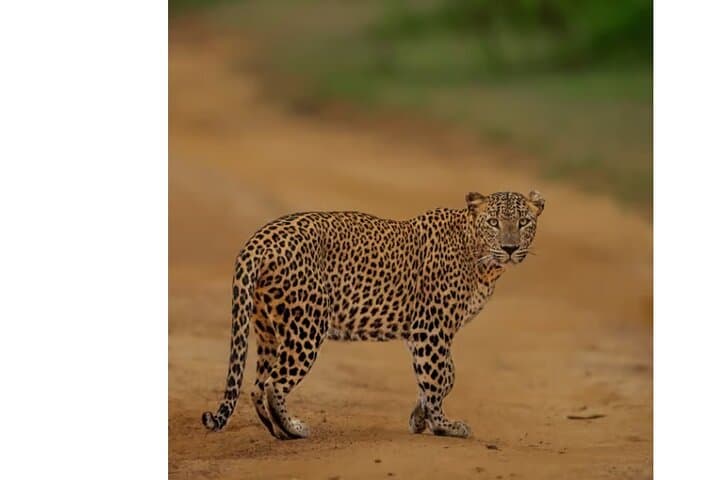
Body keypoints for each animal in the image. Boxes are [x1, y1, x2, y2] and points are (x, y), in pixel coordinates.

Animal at [201, 190, 545, 440]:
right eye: (494, 222)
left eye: (525, 222)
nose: (510, 247)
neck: (482, 259)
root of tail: (258, 240)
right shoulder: (431, 329)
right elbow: (439, 376)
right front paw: (442, 425)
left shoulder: (420, 333)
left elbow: (445, 375)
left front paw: (419, 417)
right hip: (307, 324)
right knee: (274, 383)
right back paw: (294, 429)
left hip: (269, 327)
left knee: (257, 385)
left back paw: (277, 431)